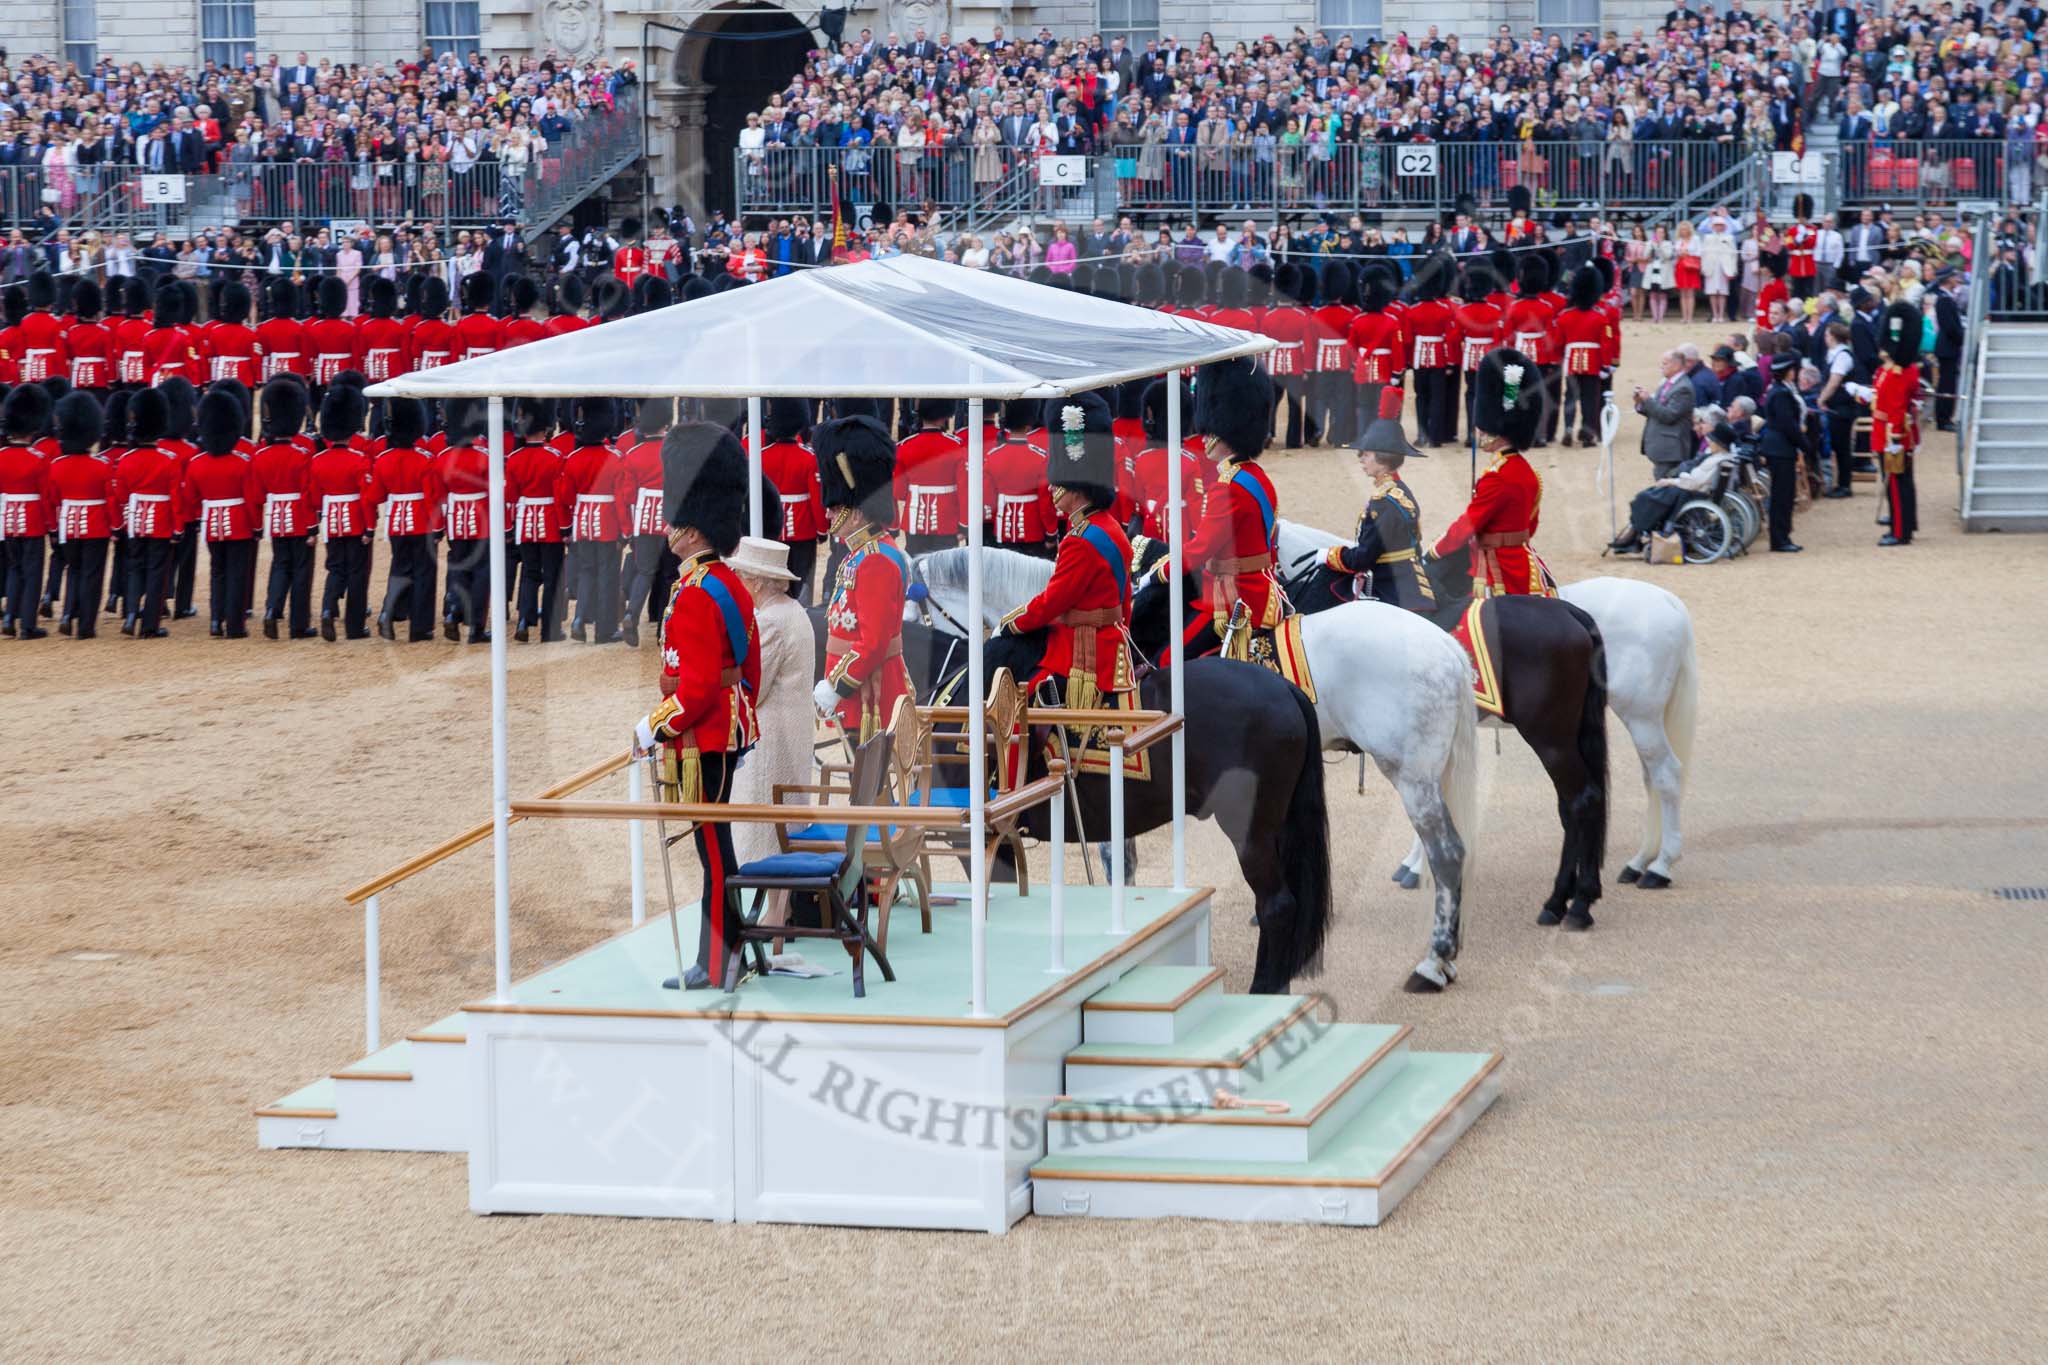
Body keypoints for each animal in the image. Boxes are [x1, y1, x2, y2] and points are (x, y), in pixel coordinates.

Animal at [1277, 517, 1695, 892]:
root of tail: (1669, 601)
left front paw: (1418, 867)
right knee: (1651, 777)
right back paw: (1639, 861)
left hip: (1638, 716)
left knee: (1666, 775)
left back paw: (1659, 866)